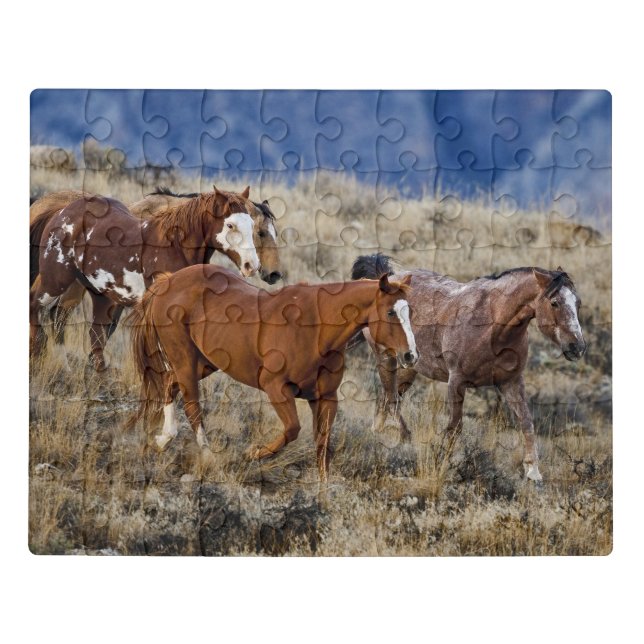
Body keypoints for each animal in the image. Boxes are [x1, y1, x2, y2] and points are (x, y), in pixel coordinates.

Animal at [30, 187, 261, 371]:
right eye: (230, 225)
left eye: (251, 224)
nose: (252, 265)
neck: (174, 246)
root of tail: (61, 212)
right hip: (55, 279)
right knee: (37, 305)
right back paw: (39, 353)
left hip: (100, 295)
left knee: (88, 331)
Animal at [128, 265, 418, 481]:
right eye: (390, 312)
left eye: (411, 311)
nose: (411, 356)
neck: (316, 328)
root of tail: (168, 281)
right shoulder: (276, 388)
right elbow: (292, 430)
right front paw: (253, 453)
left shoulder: (326, 398)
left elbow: (322, 445)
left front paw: (323, 489)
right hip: (185, 360)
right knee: (191, 405)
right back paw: (208, 456)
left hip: (204, 363)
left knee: (169, 385)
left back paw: (162, 440)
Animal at [351, 253, 587, 483]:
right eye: (555, 302)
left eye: (578, 303)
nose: (578, 347)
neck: (492, 326)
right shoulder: (456, 382)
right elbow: (455, 427)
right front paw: (442, 465)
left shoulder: (511, 382)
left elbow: (527, 422)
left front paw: (533, 472)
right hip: (388, 359)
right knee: (391, 399)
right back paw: (405, 437)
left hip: (409, 368)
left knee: (387, 397)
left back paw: (380, 433)